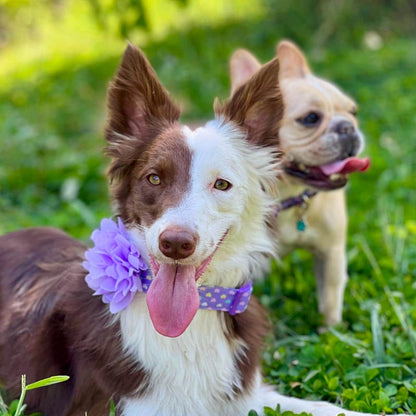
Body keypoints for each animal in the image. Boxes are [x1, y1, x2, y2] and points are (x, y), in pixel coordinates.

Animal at [231, 40, 370, 326]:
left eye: (353, 112)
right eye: (310, 119)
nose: (348, 127)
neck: (287, 196)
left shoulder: (331, 254)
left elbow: (330, 298)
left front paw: (331, 330)